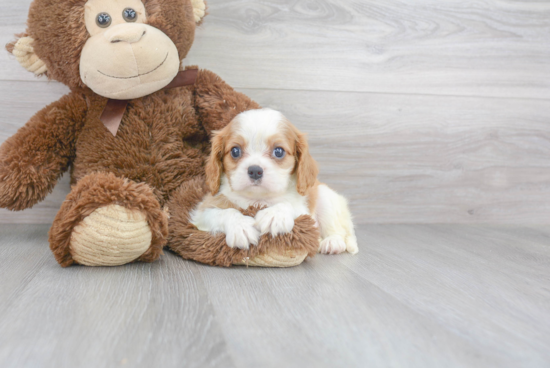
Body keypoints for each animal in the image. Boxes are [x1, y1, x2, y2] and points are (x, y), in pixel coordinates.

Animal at [192, 108, 360, 254]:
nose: (255, 170)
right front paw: (240, 226)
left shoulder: (304, 212)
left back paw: (332, 242)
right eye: (235, 151)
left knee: (337, 230)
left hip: (326, 198)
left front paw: (275, 215)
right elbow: (225, 212)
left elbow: (288, 204)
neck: (258, 199)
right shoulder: (202, 210)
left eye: (278, 151)